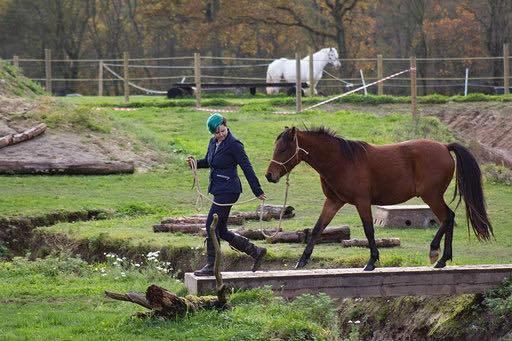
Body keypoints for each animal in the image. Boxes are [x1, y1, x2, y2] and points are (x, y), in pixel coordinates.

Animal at [264, 127, 492, 270]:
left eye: (283, 149)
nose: (269, 175)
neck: (341, 161)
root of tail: (444, 147)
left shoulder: (362, 202)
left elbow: (369, 230)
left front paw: (372, 261)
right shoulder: (333, 202)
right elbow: (317, 229)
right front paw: (302, 260)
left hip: (432, 196)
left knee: (447, 218)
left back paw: (436, 253)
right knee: (449, 218)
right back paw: (443, 259)